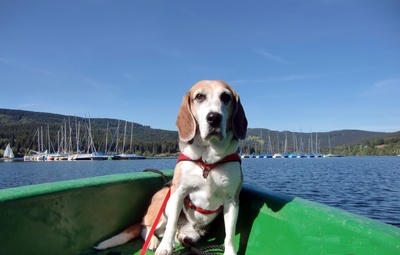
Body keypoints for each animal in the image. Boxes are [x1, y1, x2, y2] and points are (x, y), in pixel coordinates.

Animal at [96, 80, 247, 255]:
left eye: (225, 97)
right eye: (199, 96)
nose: (214, 117)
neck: (208, 160)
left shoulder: (232, 200)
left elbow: (229, 234)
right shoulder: (178, 192)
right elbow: (171, 224)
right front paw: (164, 248)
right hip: (164, 199)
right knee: (148, 228)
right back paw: (154, 240)